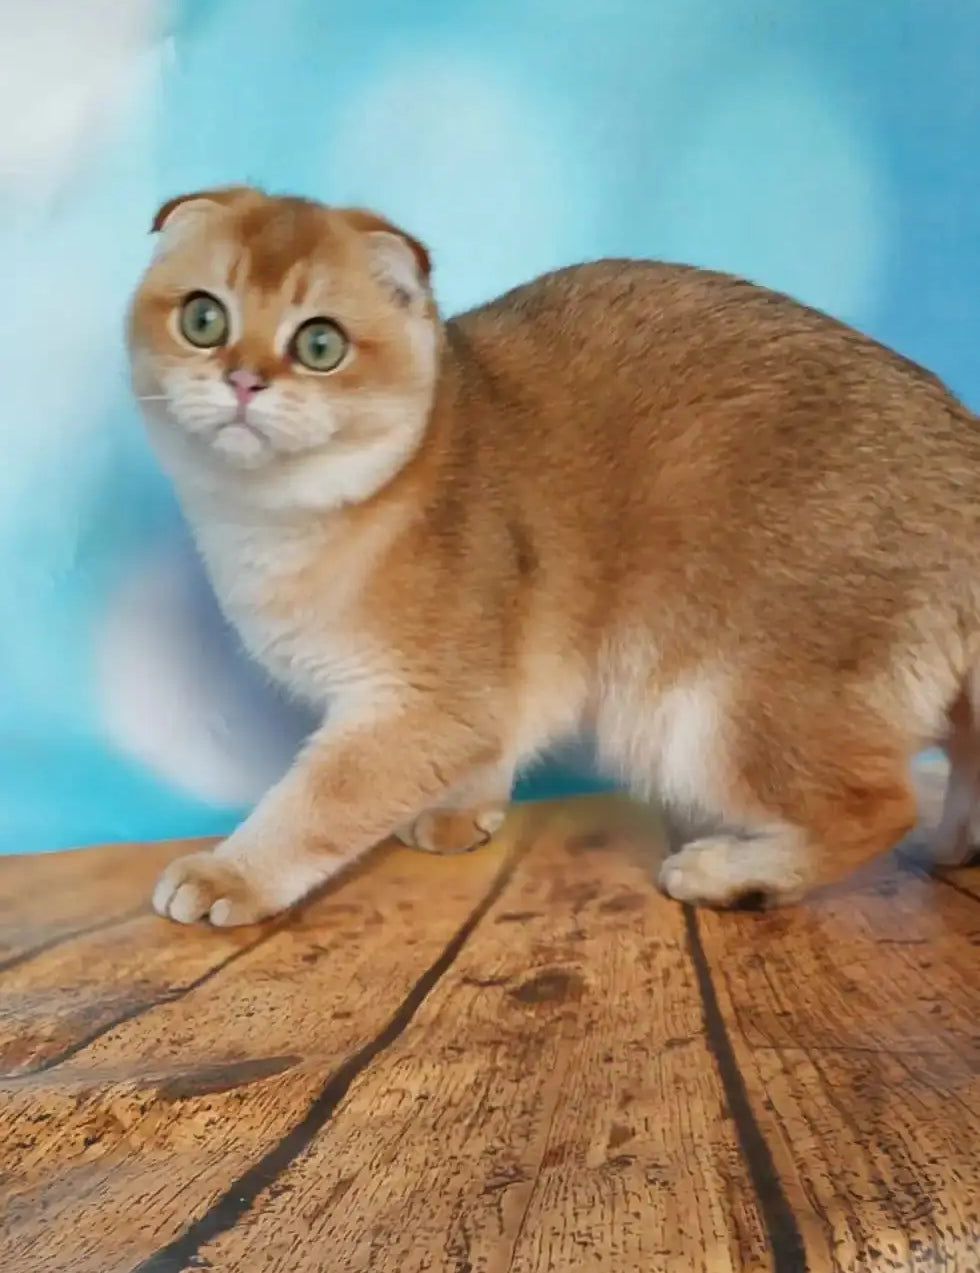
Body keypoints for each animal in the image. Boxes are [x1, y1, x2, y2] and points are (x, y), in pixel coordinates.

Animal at [127, 184, 977, 926]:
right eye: (203, 318)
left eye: (320, 343)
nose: (243, 380)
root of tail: (962, 446)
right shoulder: (494, 683)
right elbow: (494, 740)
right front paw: (463, 813)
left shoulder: (418, 701)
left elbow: (318, 802)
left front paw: (231, 872)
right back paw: (959, 842)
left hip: (721, 711)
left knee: (879, 806)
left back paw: (734, 873)